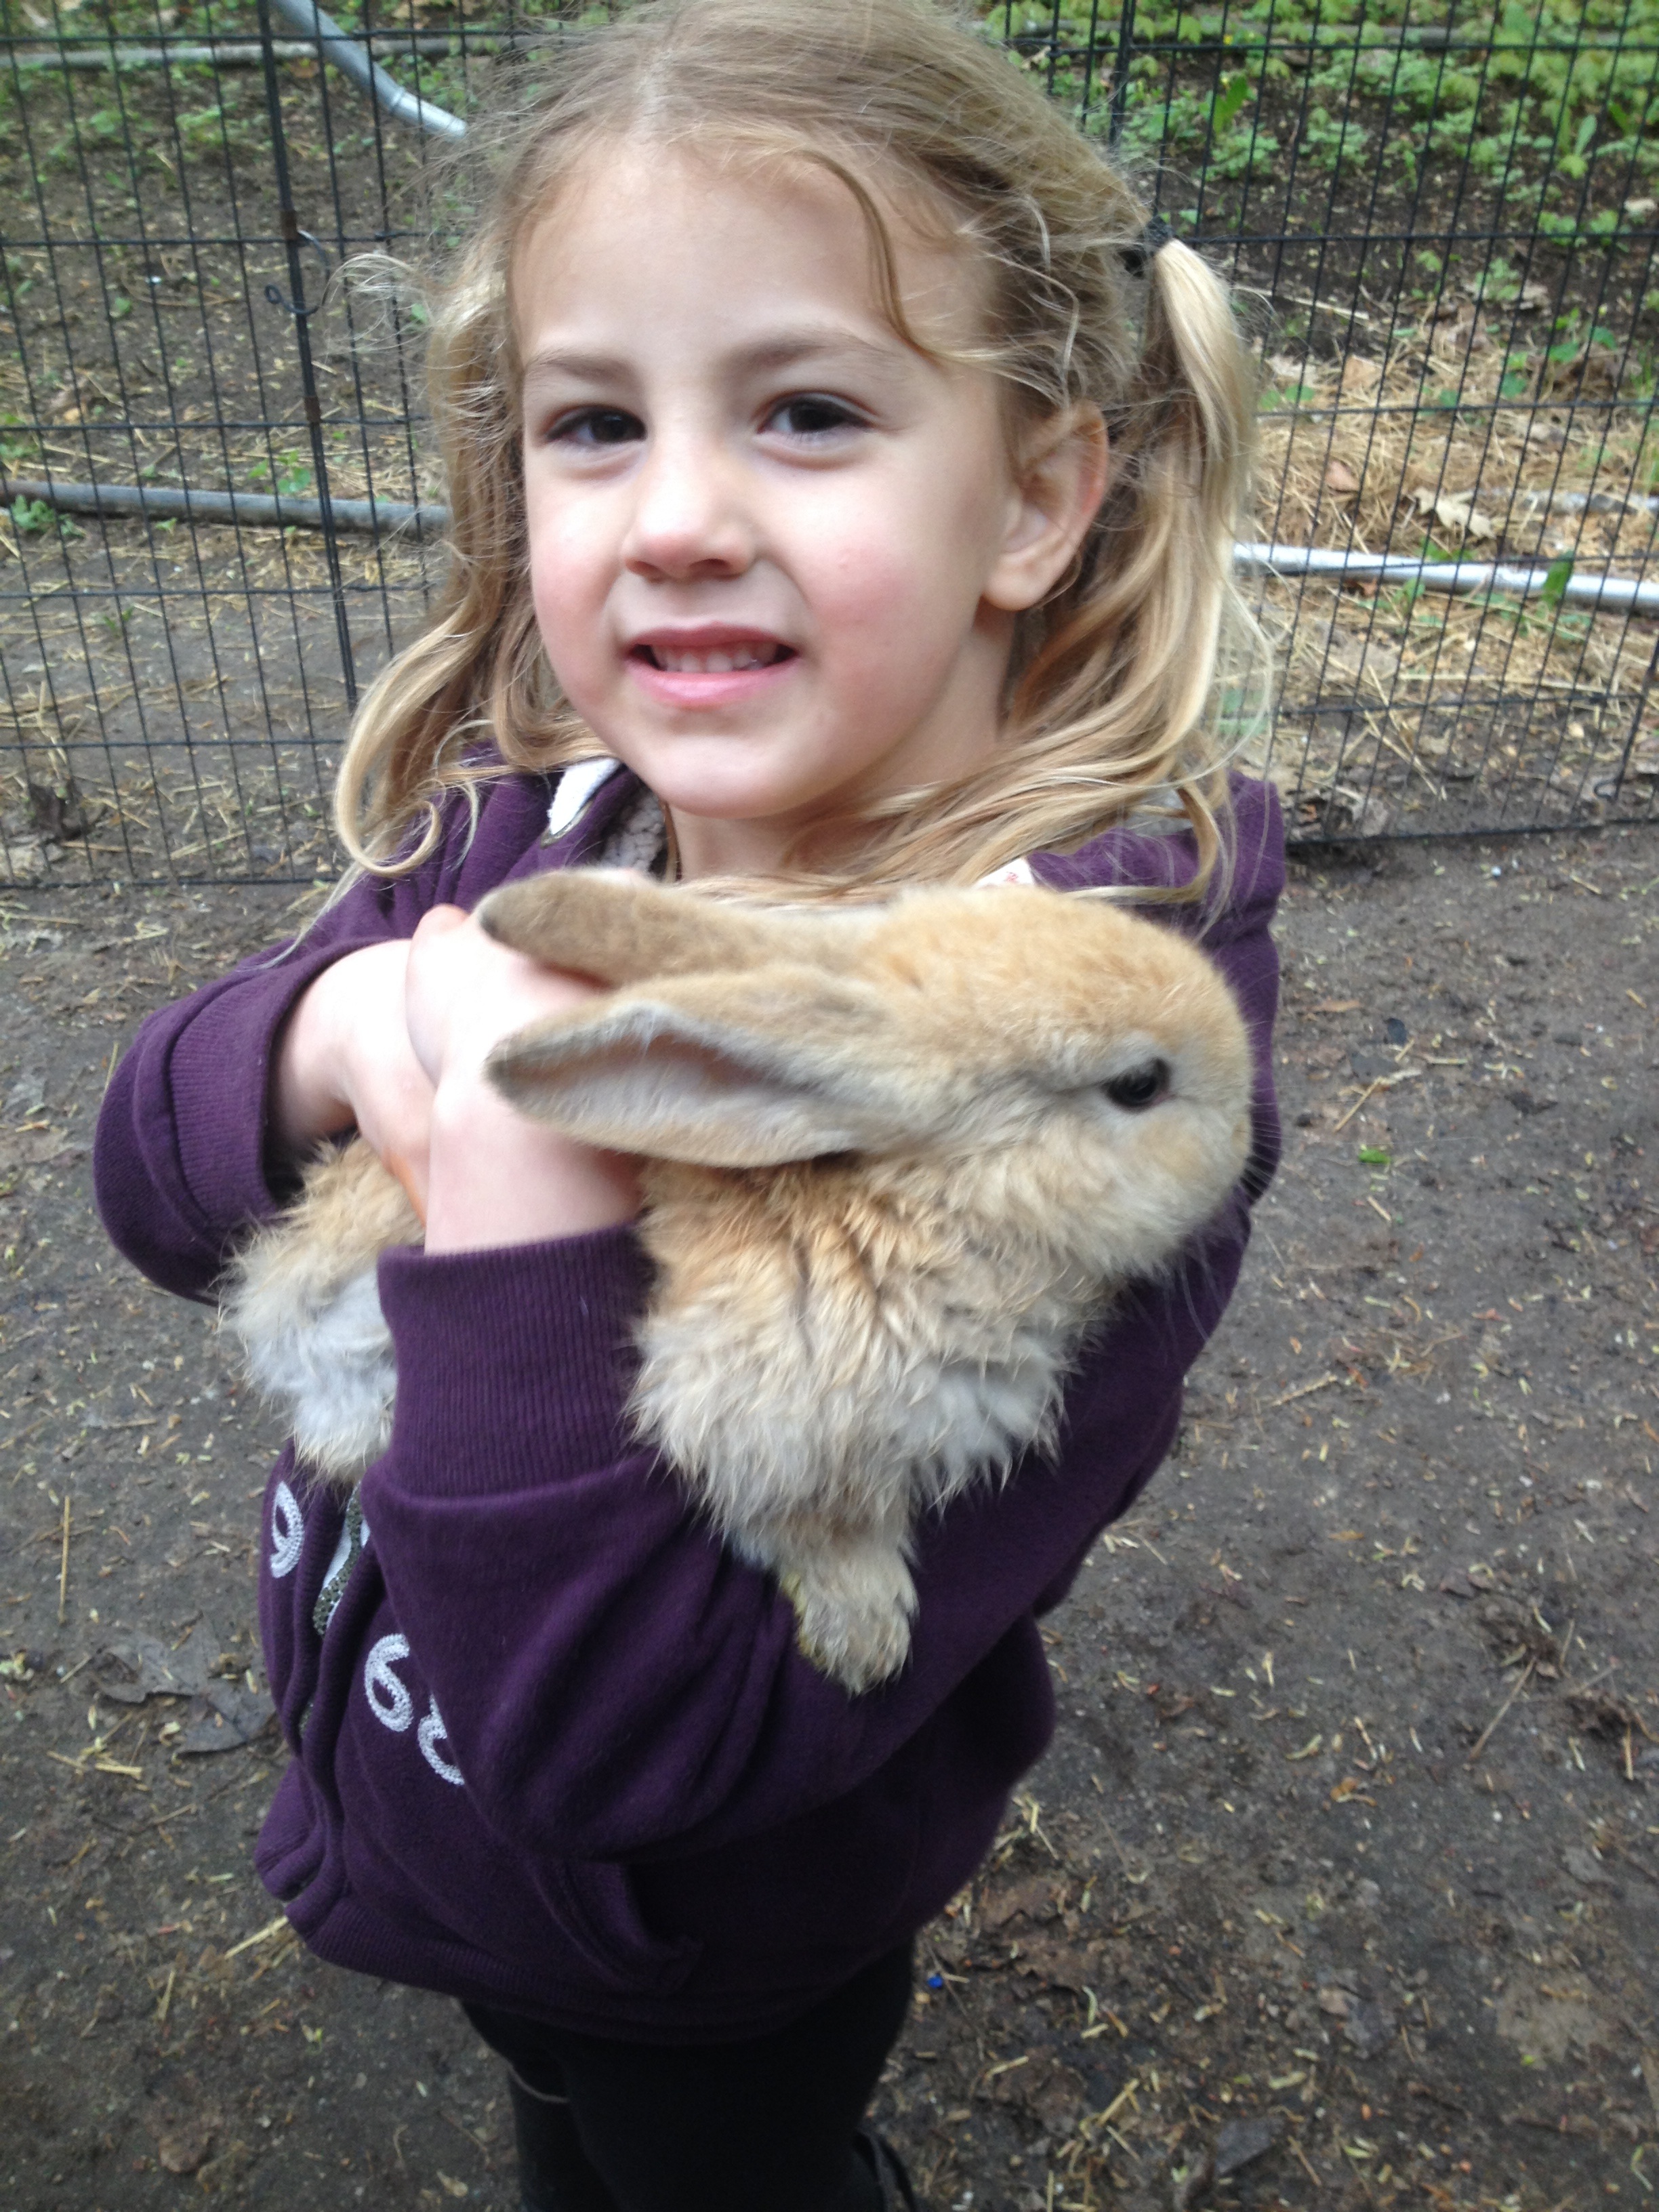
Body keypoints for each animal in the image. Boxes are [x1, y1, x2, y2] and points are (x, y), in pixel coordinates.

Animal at [224, 867, 1253, 1692]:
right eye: (1138, 1085)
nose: (1252, 1131)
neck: (912, 1203)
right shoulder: (748, 1419)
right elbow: (813, 1531)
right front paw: (866, 1641)